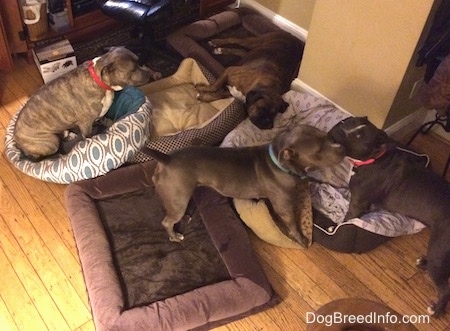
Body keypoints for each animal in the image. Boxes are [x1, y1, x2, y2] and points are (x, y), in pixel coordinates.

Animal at [13, 46, 160, 161]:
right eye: (133, 69)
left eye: (139, 62)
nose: (149, 73)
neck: (101, 82)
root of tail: (17, 141)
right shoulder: (86, 125)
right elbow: (90, 135)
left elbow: (104, 120)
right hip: (50, 142)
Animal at [143, 126, 344, 248]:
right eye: (318, 151)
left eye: (326, 136)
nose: (342, 148)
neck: (280, 162)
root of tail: (167, 159)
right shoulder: (284, 207)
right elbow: (292, 223)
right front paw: (301, 239)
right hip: (177, 199)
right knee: (167, 222)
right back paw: (175, 236)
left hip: (181, 195)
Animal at [328, 116, 450, 316]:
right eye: (352, 120)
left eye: (359, 136)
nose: (342, 123)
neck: (374, 158)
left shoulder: (357, 204)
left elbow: (346, 218)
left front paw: (334, 226)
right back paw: (423, 263)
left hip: (439, 249)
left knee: (445, 288)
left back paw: (436, 310)